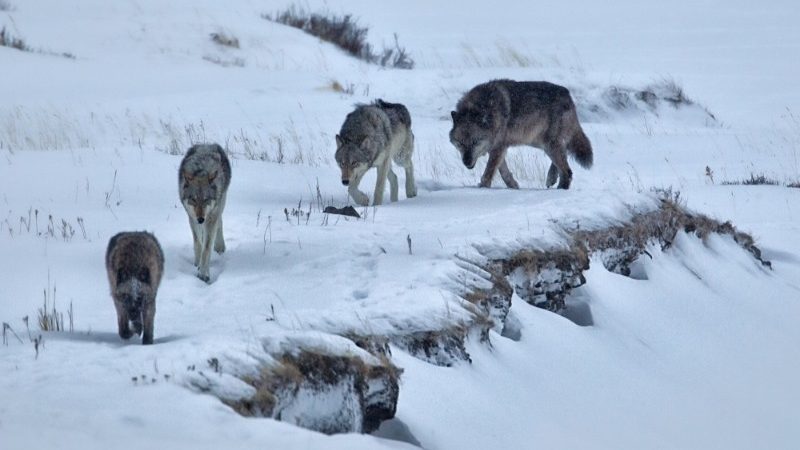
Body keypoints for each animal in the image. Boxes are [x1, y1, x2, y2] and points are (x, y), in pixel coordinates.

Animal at [179, 143, 232, 283]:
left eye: (206, 199)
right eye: (193, 199)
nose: (201, 219)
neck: (201, 170)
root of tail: (207, 144)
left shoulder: (211, 216)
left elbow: (206, 248)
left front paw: (203, 273)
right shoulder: (192, 217)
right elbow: (198, 243)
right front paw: (197, 264)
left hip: (220, 204)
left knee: (219, 222)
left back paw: (219, 247)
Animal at [450, 79, 593, 190]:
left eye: (475, 142)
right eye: (460, 143)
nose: (466, 162)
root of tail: (568, 94)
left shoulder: (498, 147)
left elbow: (488, 172)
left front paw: (482, 189)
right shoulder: (499, 148)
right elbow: (504, 172)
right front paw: (513, 186)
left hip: (548, 145)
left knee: (567, 171)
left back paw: (559, 190)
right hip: (541, 143)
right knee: (564, 156)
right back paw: (551, 178)